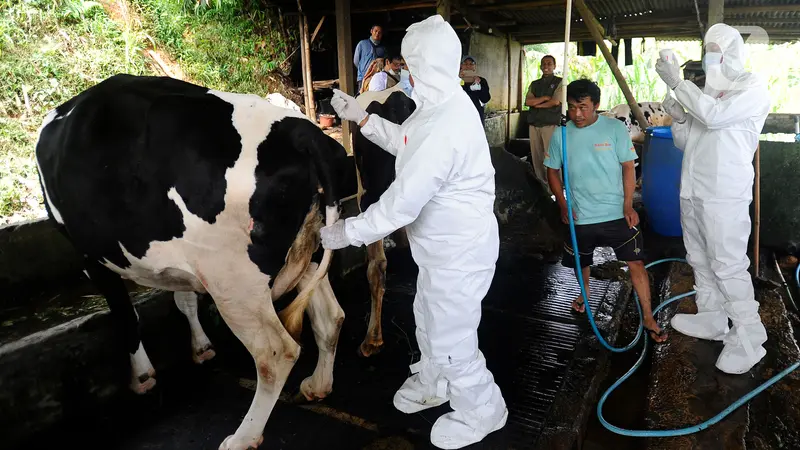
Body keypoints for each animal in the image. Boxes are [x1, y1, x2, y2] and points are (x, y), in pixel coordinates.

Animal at [35, 74, 346, 450]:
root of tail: (303, 133)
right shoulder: (180, 255)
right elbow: (183, 297)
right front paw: (201, 347)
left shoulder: (89, 253)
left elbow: (125, 314)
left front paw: (142, 376)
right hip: (308, 247)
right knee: (331, 316)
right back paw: (317, 385)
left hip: (234, 282)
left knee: (276, 352)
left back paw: (242, 437)